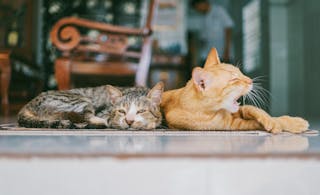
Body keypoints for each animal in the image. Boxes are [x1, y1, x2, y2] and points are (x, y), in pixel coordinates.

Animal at [17, 82, 164, 129]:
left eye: (141, 111)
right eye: (122, 111)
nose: (129, 121)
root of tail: (28, 105)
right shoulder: (104, 112)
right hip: (81, 100)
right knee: (86, 117)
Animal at [162, 48, 310, 133]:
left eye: (240, 73)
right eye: (234, 79)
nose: (250, 80)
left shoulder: (240, 111)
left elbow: (256, 110)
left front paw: (281, 121)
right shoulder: (233, 125)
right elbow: (260, 123)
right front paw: (278, 124)